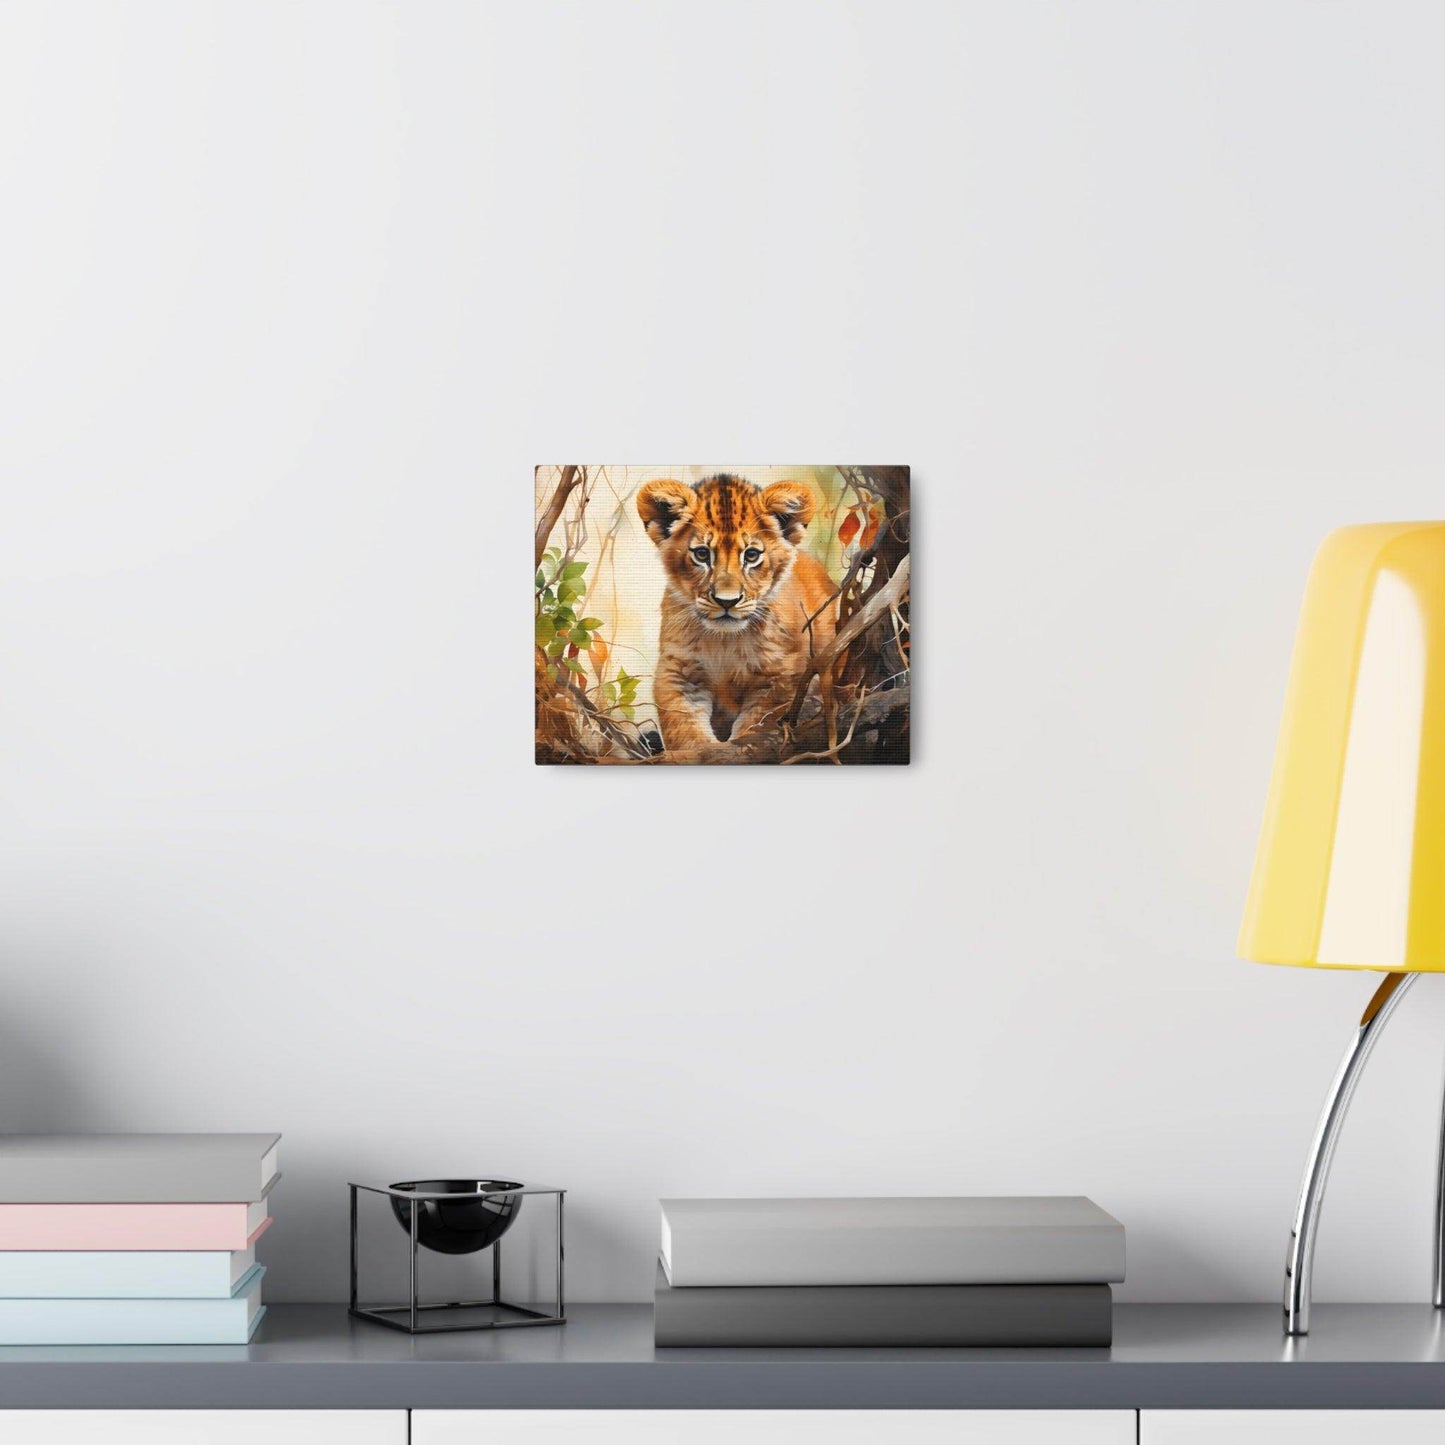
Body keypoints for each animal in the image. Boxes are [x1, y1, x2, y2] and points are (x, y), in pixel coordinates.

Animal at [635, 474, 838, 757]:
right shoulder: (679, 671)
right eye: (701, 554)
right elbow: (683, 726)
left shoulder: (780, 676)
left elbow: (757, 726)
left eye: (751, 555)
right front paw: (702, 751)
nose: (726, 601)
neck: (724, 640)